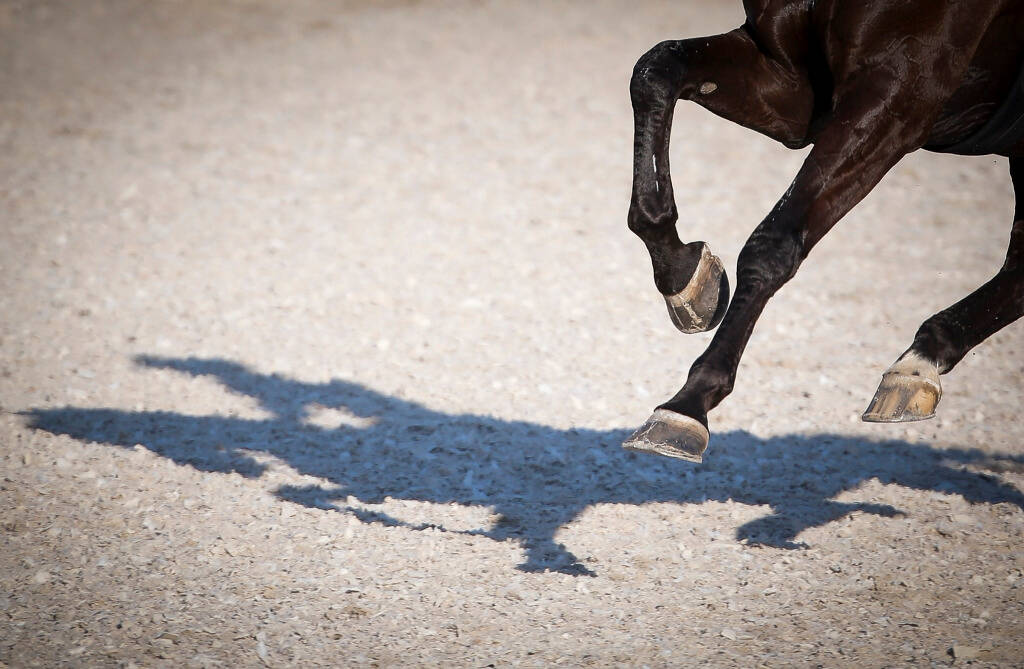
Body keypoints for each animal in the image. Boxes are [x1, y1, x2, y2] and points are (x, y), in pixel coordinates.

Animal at [623, 0, 1024, 462]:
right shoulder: (790, 83)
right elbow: (655, 69)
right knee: (1017, 270)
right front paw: (688, 278)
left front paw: (687, 405)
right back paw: (915, 366)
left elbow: (774, 243)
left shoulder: (899, 95)